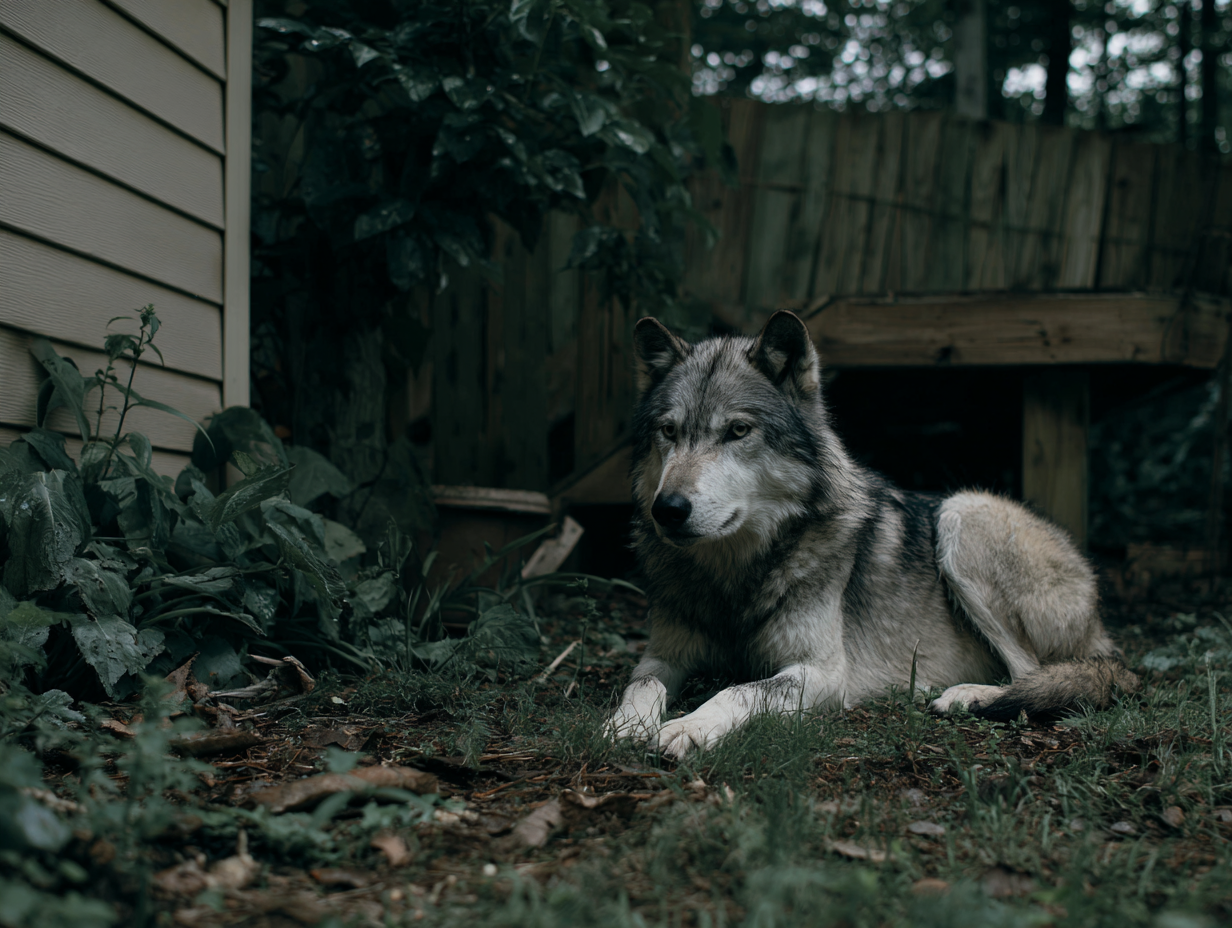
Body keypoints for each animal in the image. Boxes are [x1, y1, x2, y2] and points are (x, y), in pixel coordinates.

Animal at [606, 310, 1139, 759]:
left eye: (737, 431)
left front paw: (687, 727)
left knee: (1033, 675)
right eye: (668, 431)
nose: (668, 509)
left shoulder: (822, 673)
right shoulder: (664, 654)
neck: (734, 578)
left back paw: (964, 697)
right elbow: (642, 684)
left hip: (961, 513)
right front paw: (623, 725)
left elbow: (739, 688)